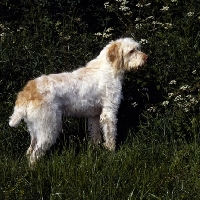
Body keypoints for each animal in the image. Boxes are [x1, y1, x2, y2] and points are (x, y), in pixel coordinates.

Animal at [8, 37, 148, 166]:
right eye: (132, 51)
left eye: (138, 48)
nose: (146, 58)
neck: (108, 69)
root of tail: (28, 90)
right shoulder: (109, 113)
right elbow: (110, 136)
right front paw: (111, 153)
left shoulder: (94, 116)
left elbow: (95, 135)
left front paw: (95, 151)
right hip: (49, 128)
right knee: (34, 154)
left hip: (35, 129)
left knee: (30, 149)